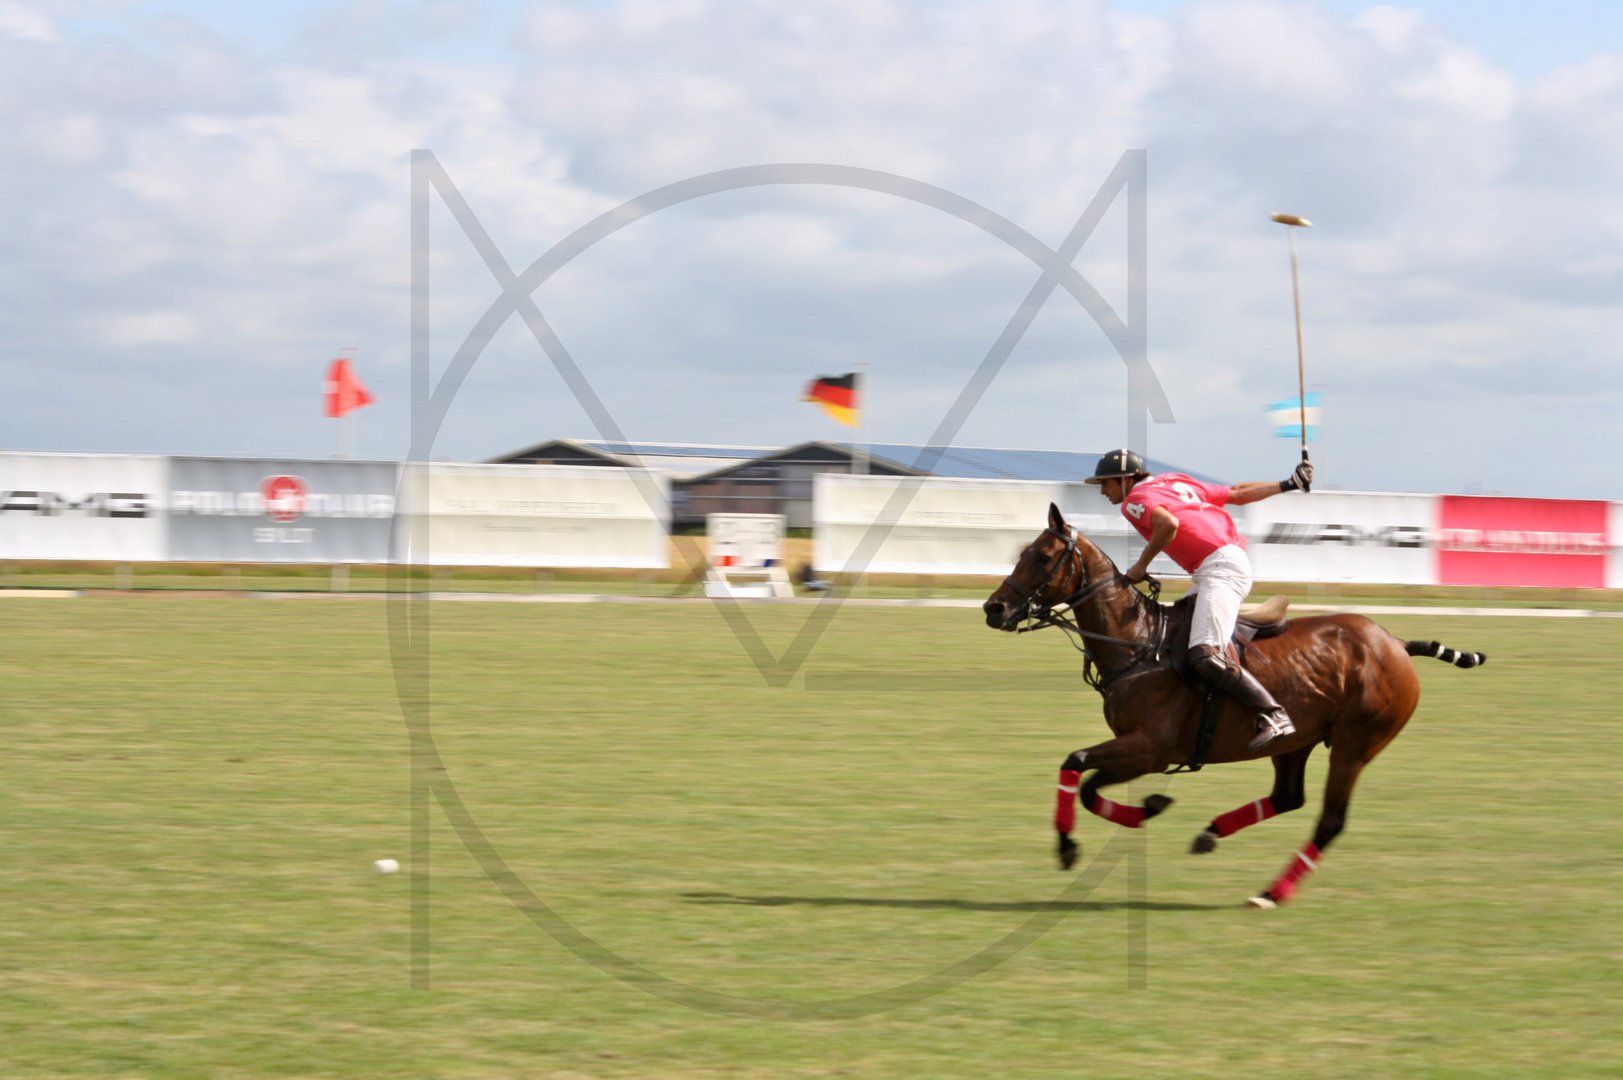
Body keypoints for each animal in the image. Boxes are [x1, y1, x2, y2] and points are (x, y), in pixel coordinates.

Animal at [973, 500, 1486, 902]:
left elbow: (1078, 766)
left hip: (1355, 744)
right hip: (1296, 742)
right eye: (1023, 553)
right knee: (1288, 797)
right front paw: (1147, 809)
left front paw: (1074, 844)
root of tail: (1395, 643)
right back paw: (1211, 834)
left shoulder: (1149, 750)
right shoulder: (1138, 751)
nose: (994, 609)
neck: (1138, 642)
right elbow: (1085, 782)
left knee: (1330, 820)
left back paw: (1271, 894)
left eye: (1042, 557)